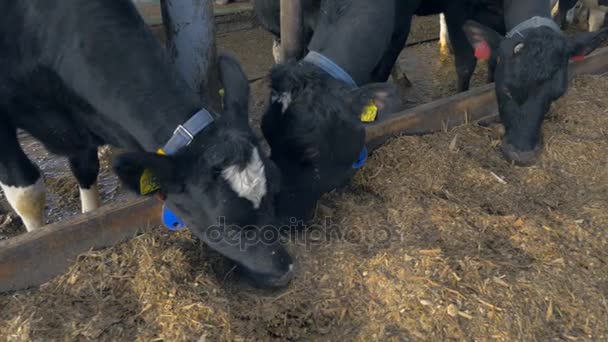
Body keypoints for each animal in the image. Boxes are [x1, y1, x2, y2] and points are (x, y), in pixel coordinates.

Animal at [0, 0, 294, 288]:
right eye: (225, 225)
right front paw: (36, 239)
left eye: (275, 192)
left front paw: (88, 214)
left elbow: (86, 169)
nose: (285, 269)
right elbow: (27, 193)